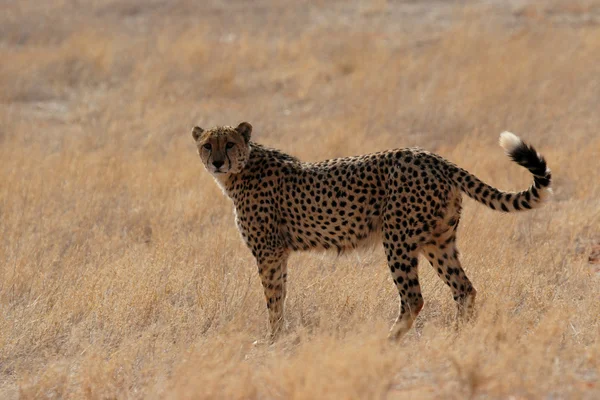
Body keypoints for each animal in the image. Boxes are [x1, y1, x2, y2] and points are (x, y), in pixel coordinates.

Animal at [192, 122, 552, 340]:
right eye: (208, 145)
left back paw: (389, 339)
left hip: (398, 239)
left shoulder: (268, 252)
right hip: (438, 241)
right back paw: (457, 336)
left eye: (229, 143)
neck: (241, 170)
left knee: (414, 298)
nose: (218, 162)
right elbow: (279, 295)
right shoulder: (278, 254)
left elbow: (273, 299)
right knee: (464, 289)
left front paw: (272, 339)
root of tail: (432, 157)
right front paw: (278, 336)